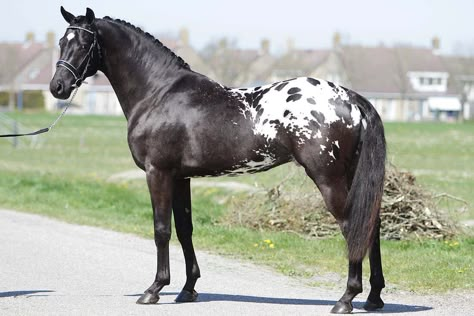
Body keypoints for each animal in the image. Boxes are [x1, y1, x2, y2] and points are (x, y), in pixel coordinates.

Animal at [51, 7, 386, 314]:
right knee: (371, 225)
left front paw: (154, 289)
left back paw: (346, 298)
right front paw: (188, 289)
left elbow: (161, 229)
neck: (158, 93)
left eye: (84, 43)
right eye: (61, 41)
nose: (58, 87)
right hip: (351, 175)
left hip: (328, 178)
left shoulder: (157, 173)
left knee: (351, 226)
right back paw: (373, 297)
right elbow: (184, 229)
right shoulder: (180, 177)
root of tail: (350, 98)